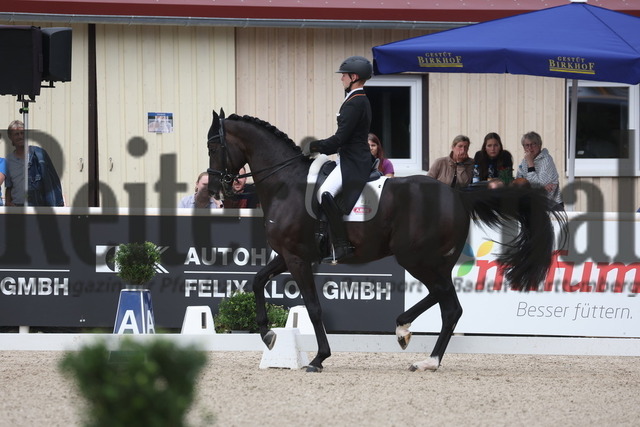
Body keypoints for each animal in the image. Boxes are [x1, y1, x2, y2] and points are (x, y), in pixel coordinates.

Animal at [208, 110, 568, 374]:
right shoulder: (287, 254)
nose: (215, 189)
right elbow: (256, 281)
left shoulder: (297, 258)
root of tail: (457, 195)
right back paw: (406, 332)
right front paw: (268, 335)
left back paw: (425, 357)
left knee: (449, 305)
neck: (287, 184)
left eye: (214, 147)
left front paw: (318, 358)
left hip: (416, 258)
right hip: (433, 261)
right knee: (444, 300)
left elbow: (312, 306)